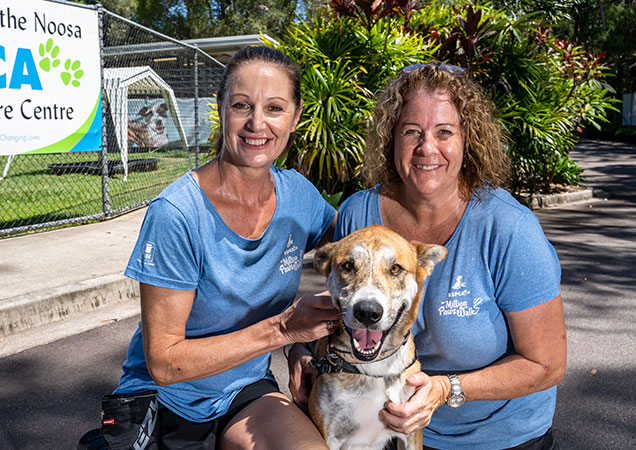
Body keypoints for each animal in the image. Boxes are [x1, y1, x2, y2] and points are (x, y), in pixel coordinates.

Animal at [309, 225, 447, 450]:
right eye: (347, 266)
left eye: (395, 269)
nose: (367, 312)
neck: (375, 369)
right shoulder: (328, 434)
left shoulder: (411, 429)